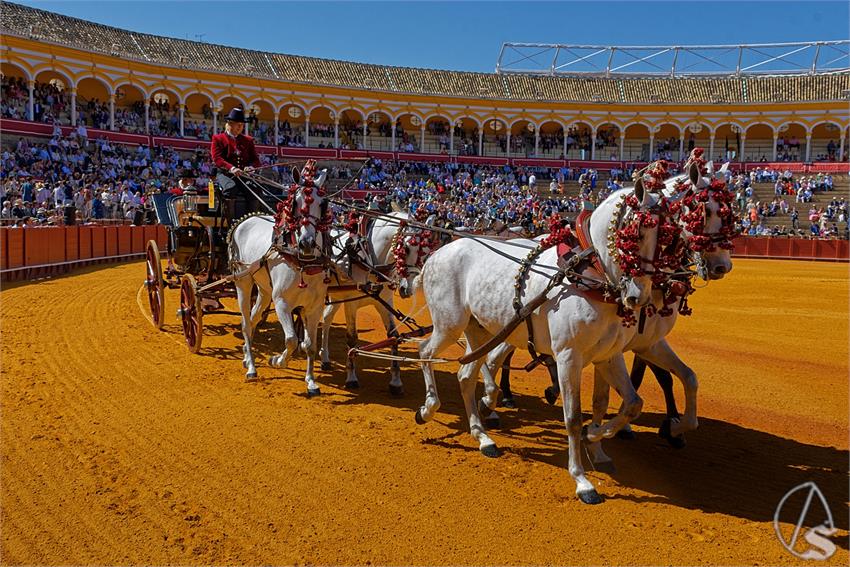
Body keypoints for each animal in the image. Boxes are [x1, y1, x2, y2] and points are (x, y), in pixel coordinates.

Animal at [229, 164, 332, 394]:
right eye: (294, 203)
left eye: (323, 204)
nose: (307, 243)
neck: (303, 262)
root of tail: (247, 219)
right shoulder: (282, 303)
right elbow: (292, 340)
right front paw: (276, 360)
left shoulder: (315, 306)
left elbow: (309, 345)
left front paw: (311, 381)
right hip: (243, 282)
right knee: (245, 324)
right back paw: (251, 367)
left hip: (265, 291)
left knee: (253, 318)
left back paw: (246, 356)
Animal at [318, 212, 430, 394]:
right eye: (405, 248)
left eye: (425, 252)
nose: (408, 289)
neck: (368, 260)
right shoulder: (351, 303)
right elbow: (352, 338)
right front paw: (351, 377)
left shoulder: (384, 302)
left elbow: (393, 336)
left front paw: (396, 381)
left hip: (335, 296)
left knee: (326, 320)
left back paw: (325, 358)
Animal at [412, 175, 668, 504]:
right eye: (633, 232)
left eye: (665, 236)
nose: (638, 296)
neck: (589, 274)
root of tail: (437, 252)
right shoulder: (568, 356)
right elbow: (572, 417)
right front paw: (581, 480)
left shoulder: (608, 356)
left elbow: (632, 404)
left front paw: (595, 436)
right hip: (449, 325)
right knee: (424, 352)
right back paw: (428, 408)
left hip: (479, 331)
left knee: (466, 375)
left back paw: (482, 436)